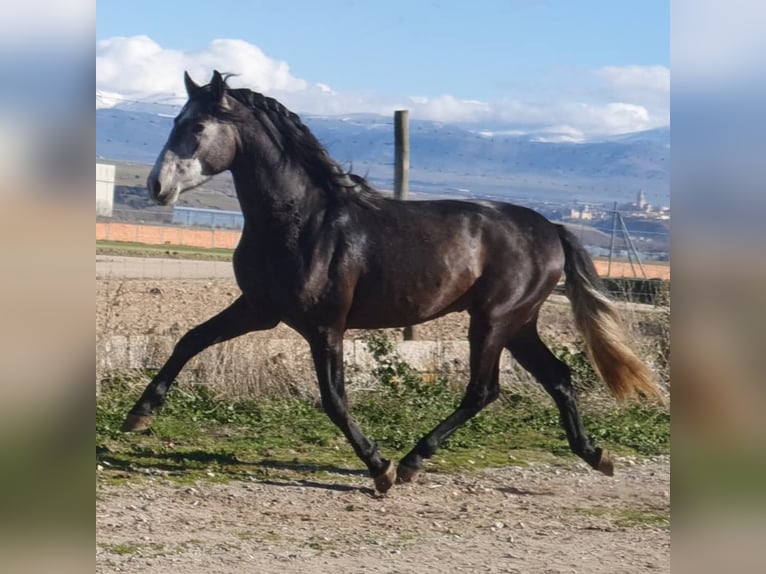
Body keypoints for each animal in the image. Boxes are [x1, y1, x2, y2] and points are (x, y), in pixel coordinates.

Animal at [122, 70, 662, 493]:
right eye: (174, 121)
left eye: (196, 126)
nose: (156, 186)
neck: (304, 221)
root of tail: (550, 228)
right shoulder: (259, 309)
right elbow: (190, 340)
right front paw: (139, 414)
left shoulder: (325, 326)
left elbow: (334, 399)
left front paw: (378, 467)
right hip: (520, 323)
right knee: (558, 377)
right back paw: (596, 454)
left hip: (493, 321)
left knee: (483, 391)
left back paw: (411, 462)